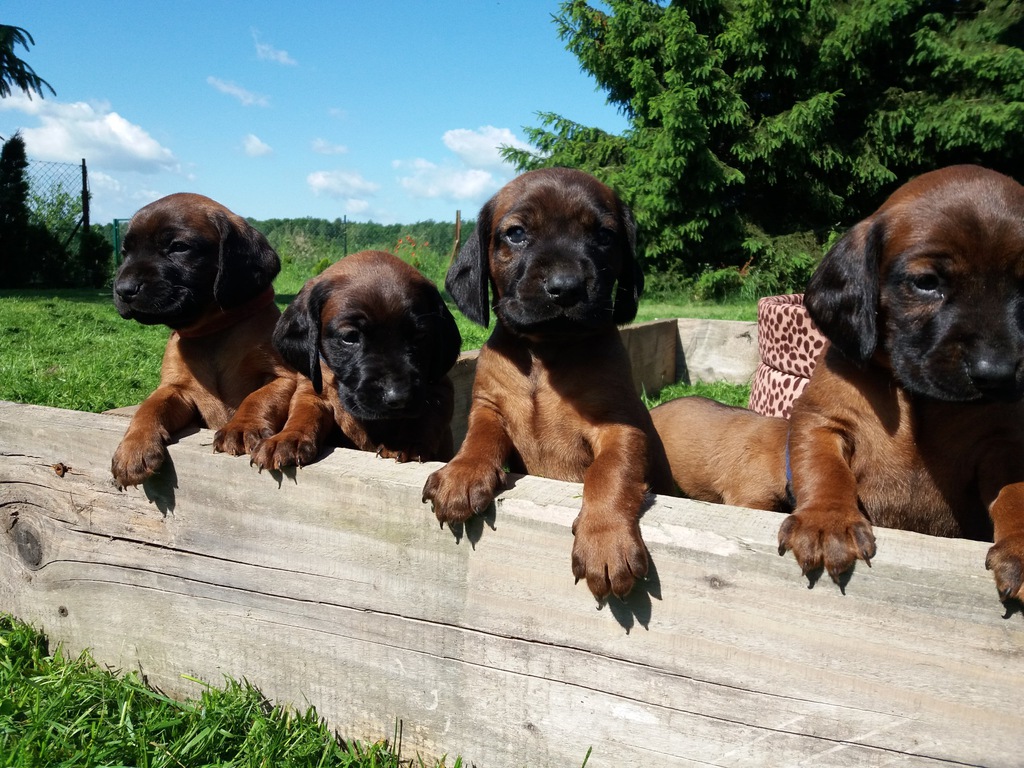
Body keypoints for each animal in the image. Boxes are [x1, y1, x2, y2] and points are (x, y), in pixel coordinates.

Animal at [112, 195, 296, 489]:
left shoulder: (284, 377)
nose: (124, 290)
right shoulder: (176, 389)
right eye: (125, 251)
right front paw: (133, 448)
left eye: (179, 247)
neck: (210, 333)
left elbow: (258, 398)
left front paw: (240, 427)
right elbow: (149, 407)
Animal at [247, 252, 460, 468]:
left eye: (420, 337)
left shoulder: (438, 388)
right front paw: (288, 437)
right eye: (350, 337)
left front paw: (407, 440)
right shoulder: (312, 390)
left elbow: (425, 418)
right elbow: (303, 412)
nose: (399, 397)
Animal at [419, 166, 675, 602]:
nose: (566, 287)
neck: (545, 354)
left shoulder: (620, 426)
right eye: (517, 233)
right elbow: (479, 439)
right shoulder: (490, 408)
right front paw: (461, 474)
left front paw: (605, 540)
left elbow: (609, 473)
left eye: (604, 235)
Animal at [774, 165, 1024, 606]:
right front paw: (826, 521)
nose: (996, 374)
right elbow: (823, 468)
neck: (917, 400)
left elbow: (1016, 493)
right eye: (926, 282)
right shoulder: (821, 420)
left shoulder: (1004, 445)